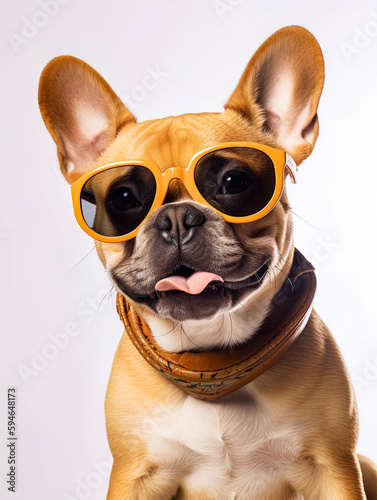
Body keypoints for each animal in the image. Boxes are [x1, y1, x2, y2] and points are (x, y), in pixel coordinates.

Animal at [39, 26, 376, 500]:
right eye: (123, 198)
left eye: (234, 182)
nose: (177, 217)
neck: (210, 354)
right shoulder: (134, 474)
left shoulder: (335, 467)